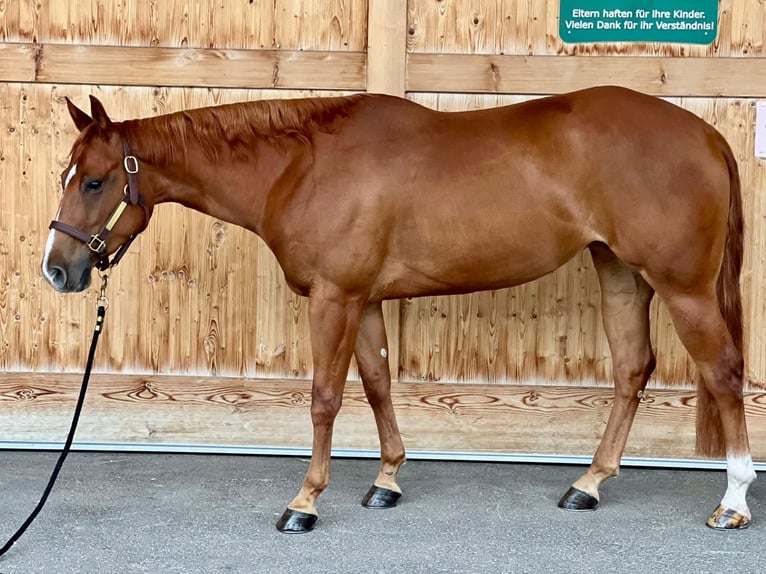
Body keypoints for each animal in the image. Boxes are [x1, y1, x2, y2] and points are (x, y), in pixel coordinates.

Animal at [41, 86, 755, 533]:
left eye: (97, 181)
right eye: (64, 176)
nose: (57, 269)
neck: (302, 166)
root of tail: (704, 134)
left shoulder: (335, 298)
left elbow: (325, 397)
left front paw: (305, 502)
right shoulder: (365, 300)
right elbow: (379, 383)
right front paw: (386, 482)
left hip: (685, 288)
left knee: (722, 374)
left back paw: (733, 502)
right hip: (620, 275)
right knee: (632, 370)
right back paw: (588, 485)